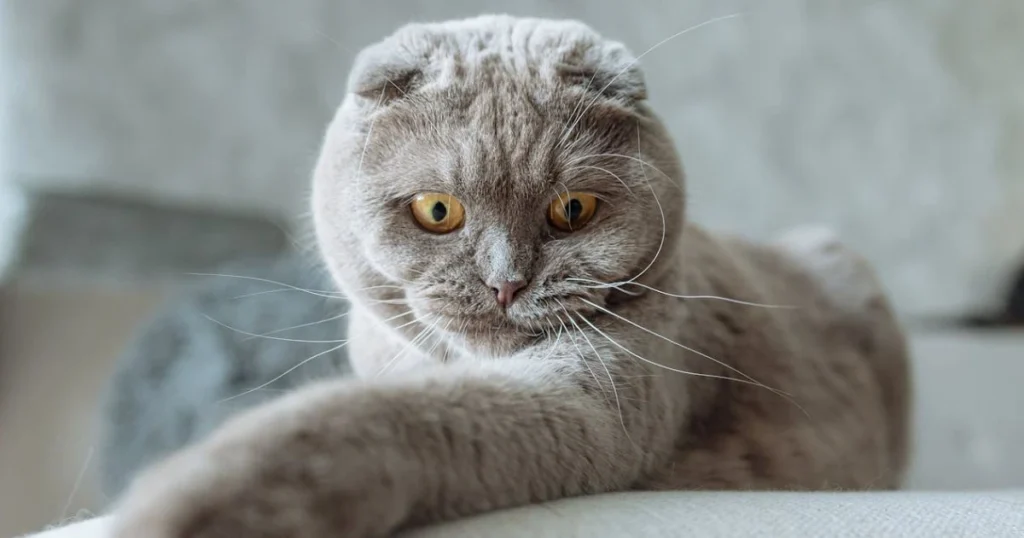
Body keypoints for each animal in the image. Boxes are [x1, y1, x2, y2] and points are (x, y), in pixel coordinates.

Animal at [112, 14, 913, 532]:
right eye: (438, 210)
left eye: (573, 209)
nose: (505, 283)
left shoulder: (595, 399)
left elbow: (389, 418)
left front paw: (179, 505)